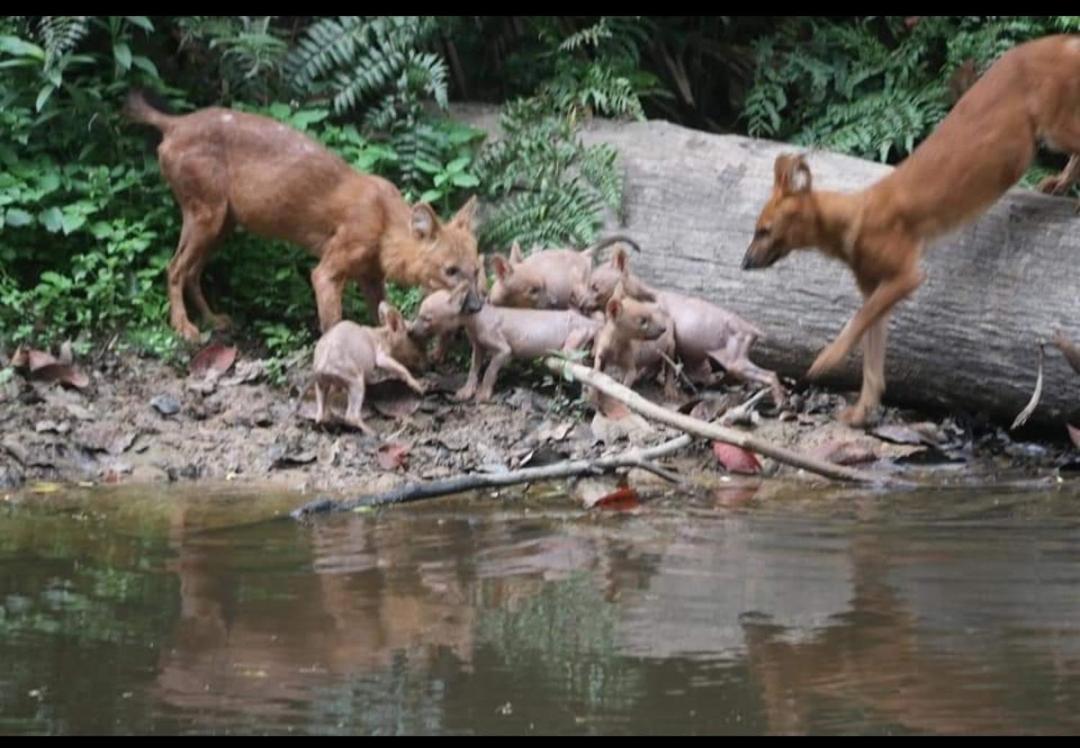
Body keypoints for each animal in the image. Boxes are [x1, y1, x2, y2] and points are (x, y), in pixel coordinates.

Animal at [124, 89, 483, 341]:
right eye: (450, 270)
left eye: (477, 269)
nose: (478, 305)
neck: (383, 222)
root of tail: (176, 123)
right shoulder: (328, 269)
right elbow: (333, 322)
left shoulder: (370, 276)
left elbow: (381, 314)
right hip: (207, 216)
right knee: (174, 268)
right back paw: (184, 328)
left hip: (222, 224)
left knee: (191, 271)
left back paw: (214, 320)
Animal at [743, 35, 1080, 425]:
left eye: (763, 230)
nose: (744, 262)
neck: (852, 220)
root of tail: (1064, 41)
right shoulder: (876, 285)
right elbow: (873, 355)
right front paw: (861, 412)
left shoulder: (908, 273)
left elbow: (857, 320)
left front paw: (826, 360)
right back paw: (1058, 184)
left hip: (1056, 126)